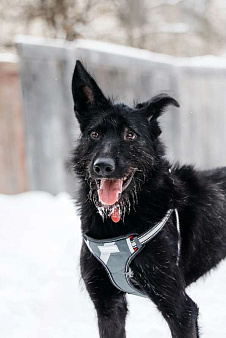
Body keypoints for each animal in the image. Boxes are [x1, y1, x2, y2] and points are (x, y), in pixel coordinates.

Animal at [71, 60, 226, 338]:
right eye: (95, 134)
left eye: (130, 135)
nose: (103, 166)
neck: (118, 220)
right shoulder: (107, 305)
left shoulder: (180, 308)